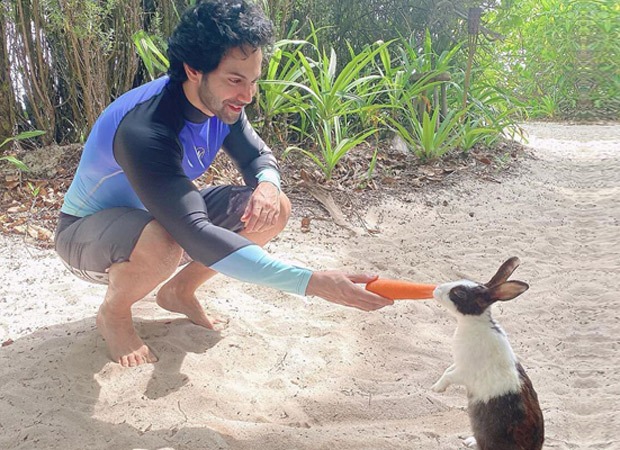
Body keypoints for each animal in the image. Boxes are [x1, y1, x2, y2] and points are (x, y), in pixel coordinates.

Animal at [432, 256, 544, 450]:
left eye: (460, 293)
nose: (436, 289)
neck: (474, 324)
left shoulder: (464, 372)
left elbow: (449, 376)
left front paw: (437, 388)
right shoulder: (457, 363)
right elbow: (447, 370)